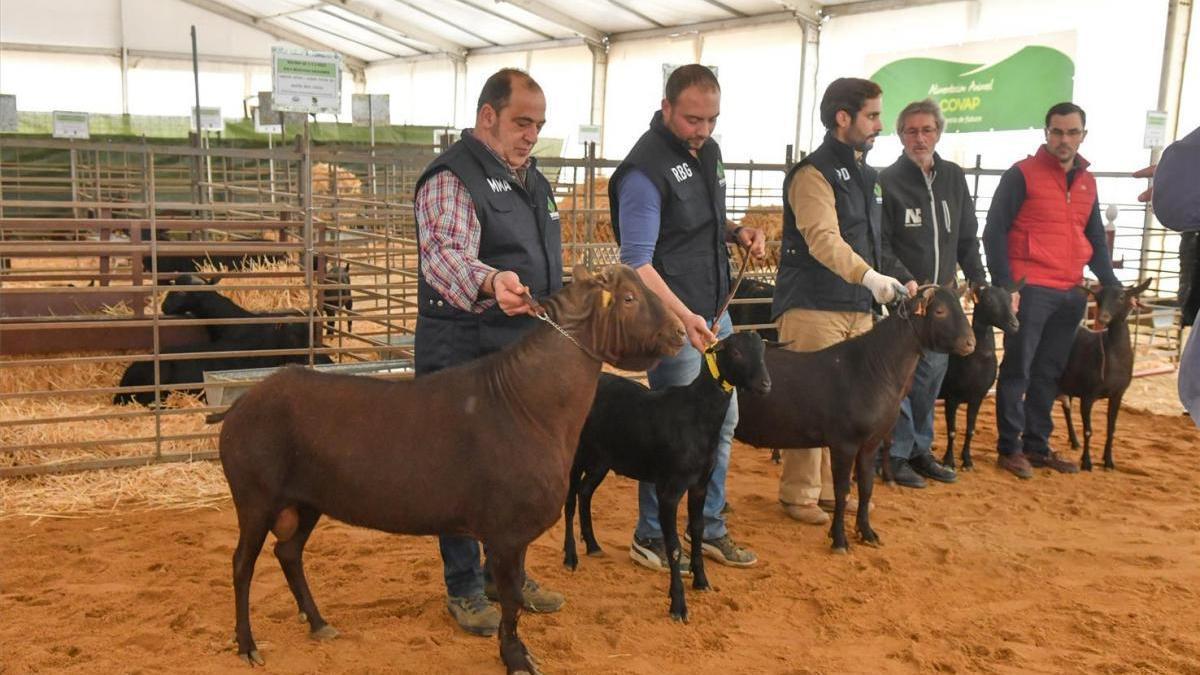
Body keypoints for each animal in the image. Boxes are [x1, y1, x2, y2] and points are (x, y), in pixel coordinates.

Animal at [211, 264, 686, 672]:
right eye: (629, 298)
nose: (680, 332)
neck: (529, 404)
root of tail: (238, 408)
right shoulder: (505, 531)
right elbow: (509, 600)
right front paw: (516, 658)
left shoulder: (514, 534)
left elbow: (516, 594)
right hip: (255, 497)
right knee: (241, 565)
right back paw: (248, 645)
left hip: (306, 500)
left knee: (288, 552)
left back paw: (318, 622)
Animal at [559, 329, 768, 619]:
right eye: (736, 352)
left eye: (762, 351)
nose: (765, 384)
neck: (697, 414)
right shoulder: (670, 489)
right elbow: (674, 548)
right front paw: (678, 605)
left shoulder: (700, 484)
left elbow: (698, 530)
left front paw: (701, 581)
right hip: (578, 453)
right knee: (569, 500)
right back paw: (570, 557)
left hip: (603, 458)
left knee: (585, 492)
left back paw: (592, 544)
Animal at [729, 283, 974, 552]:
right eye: (939, 311)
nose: (970, 343)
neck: (874, 368)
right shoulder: (843, 443)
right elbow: (841, 491)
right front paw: (839, 540)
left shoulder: (870, 443)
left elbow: (866, 488)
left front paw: (867, 532)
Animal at [940, 279, 1017, 468]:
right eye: (988, 300)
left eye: (1010, 299)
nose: (1015, 325)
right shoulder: (951, 397)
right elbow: (952, 431)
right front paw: (948, 461)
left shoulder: (978, 397)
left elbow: (970, 430)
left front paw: (967, 460)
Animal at [1060, 277, 1152, 468]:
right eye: (1098, 298)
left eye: (1122, 297)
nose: (1103, 317)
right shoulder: (1088, 394)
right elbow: (1088, 430)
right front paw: (1087, 462)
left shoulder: (1117, 394)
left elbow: (1112, 428)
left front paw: (1109, 461)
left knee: (1066, 408)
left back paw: (1074, 442)